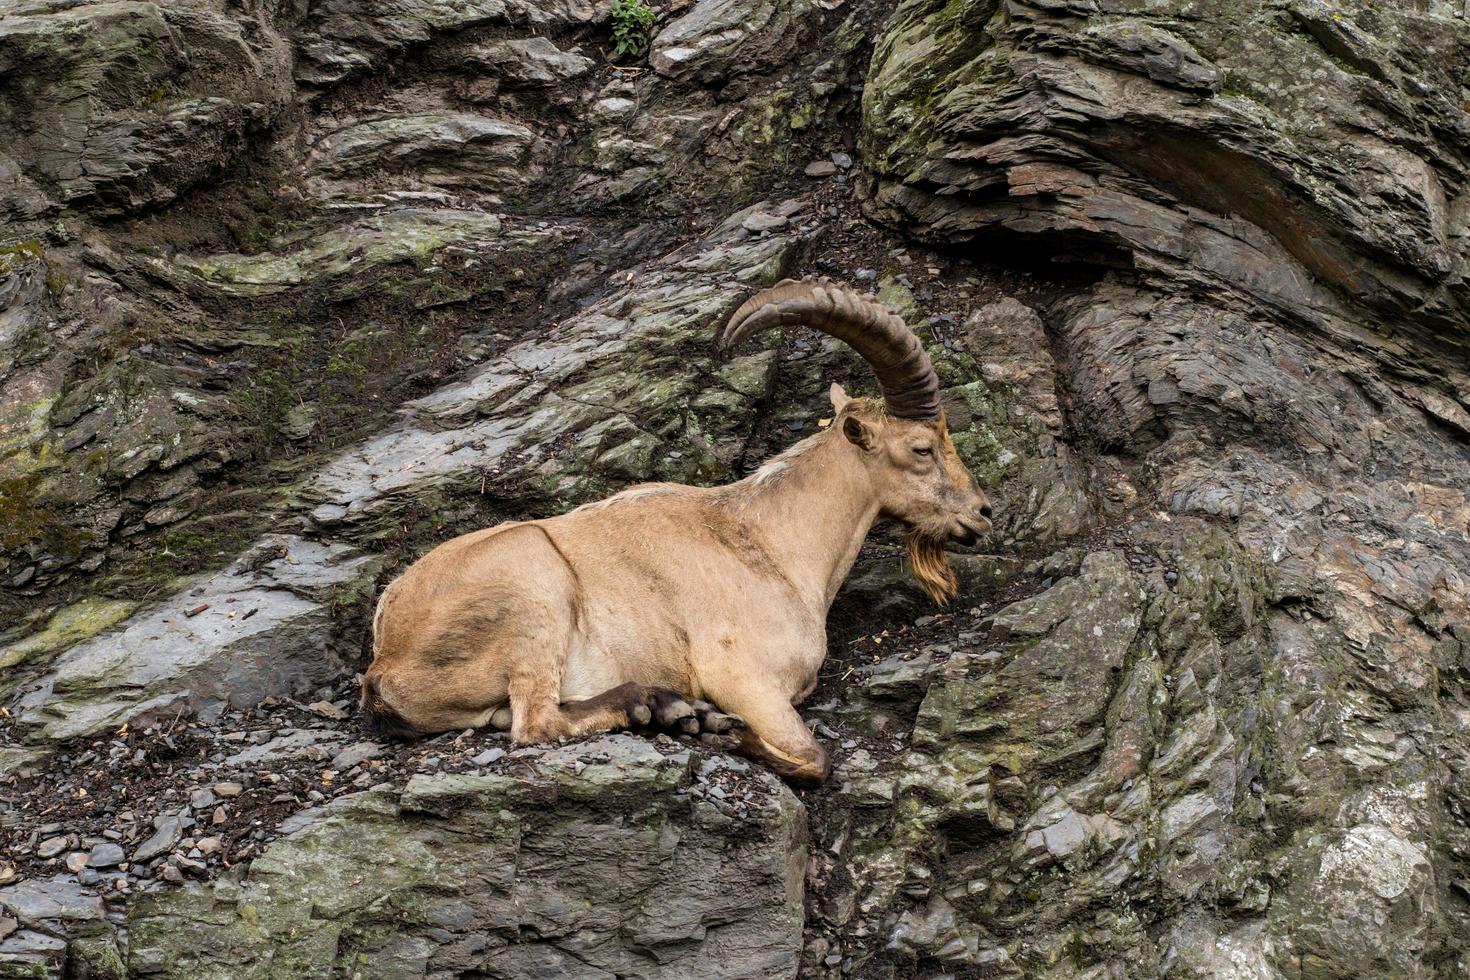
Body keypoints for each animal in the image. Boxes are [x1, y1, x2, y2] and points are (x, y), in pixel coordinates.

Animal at [361, 277, 993, 781]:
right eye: (923, 447)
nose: (981, 513)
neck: (772, 544)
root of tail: (384, 664)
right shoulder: (743, 678)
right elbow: (813, 757)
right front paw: (721, 732)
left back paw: (663, 707)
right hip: (532, 585)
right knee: (535, 723)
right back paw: (669, 710)